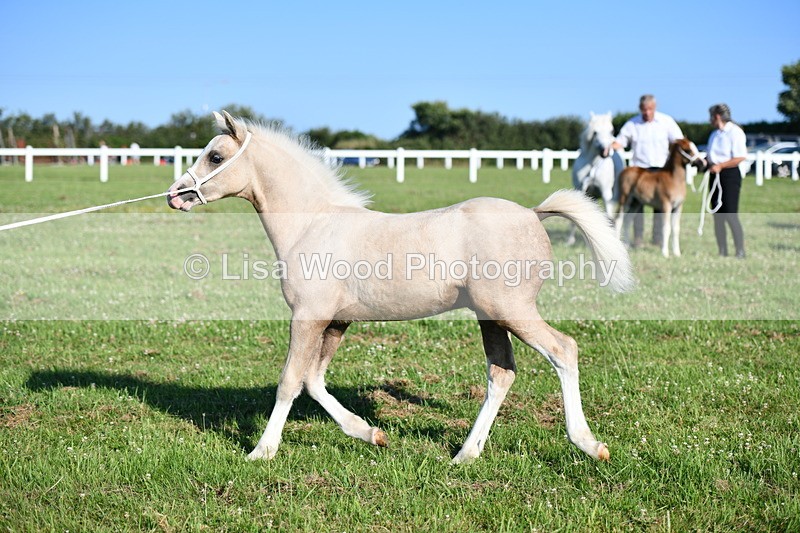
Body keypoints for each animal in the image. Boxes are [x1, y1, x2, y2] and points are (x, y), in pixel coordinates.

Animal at [566, 112, 624, 246]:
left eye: (611, 130)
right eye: (595, 132)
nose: (605, 152)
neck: (593, 165)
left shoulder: (605, 192)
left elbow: (609, 217)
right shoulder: (581, 189)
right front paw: (570, 241)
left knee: (618, 218)